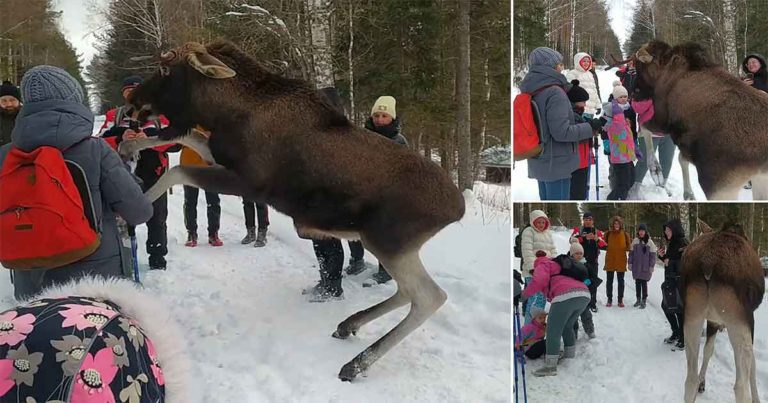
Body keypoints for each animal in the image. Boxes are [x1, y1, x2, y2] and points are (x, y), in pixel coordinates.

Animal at [115, 40, 462, 382]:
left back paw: (355, 363)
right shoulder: (218, 156)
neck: (223, 112)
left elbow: (177, 171)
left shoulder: (250, 184)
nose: (131, 102)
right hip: (394, 248)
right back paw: (349, 325)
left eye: (165, 68)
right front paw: (128, 146)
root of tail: (457, 210)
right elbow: (185, 136)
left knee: (429, 296)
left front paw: (131, 211)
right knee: (407, 292)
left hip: (386, 242)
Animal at [620, 39, 768, 200]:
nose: (635, 93)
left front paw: (655, 170)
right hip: (757, 181)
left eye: (639, 67)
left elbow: (644, 127)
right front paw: (689, 194)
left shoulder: (662, 120)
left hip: (720, 185)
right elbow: (680, 158)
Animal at [680, 221, 764, 403]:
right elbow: (754, 366)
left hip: (692, 315)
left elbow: (708, 351)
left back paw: (695, 384)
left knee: (690, 379)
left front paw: (702, 383)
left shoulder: (713, 320)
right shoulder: (748, 321)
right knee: (740, 387)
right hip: (738, 319)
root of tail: (708, 264)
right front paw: (757, 398)